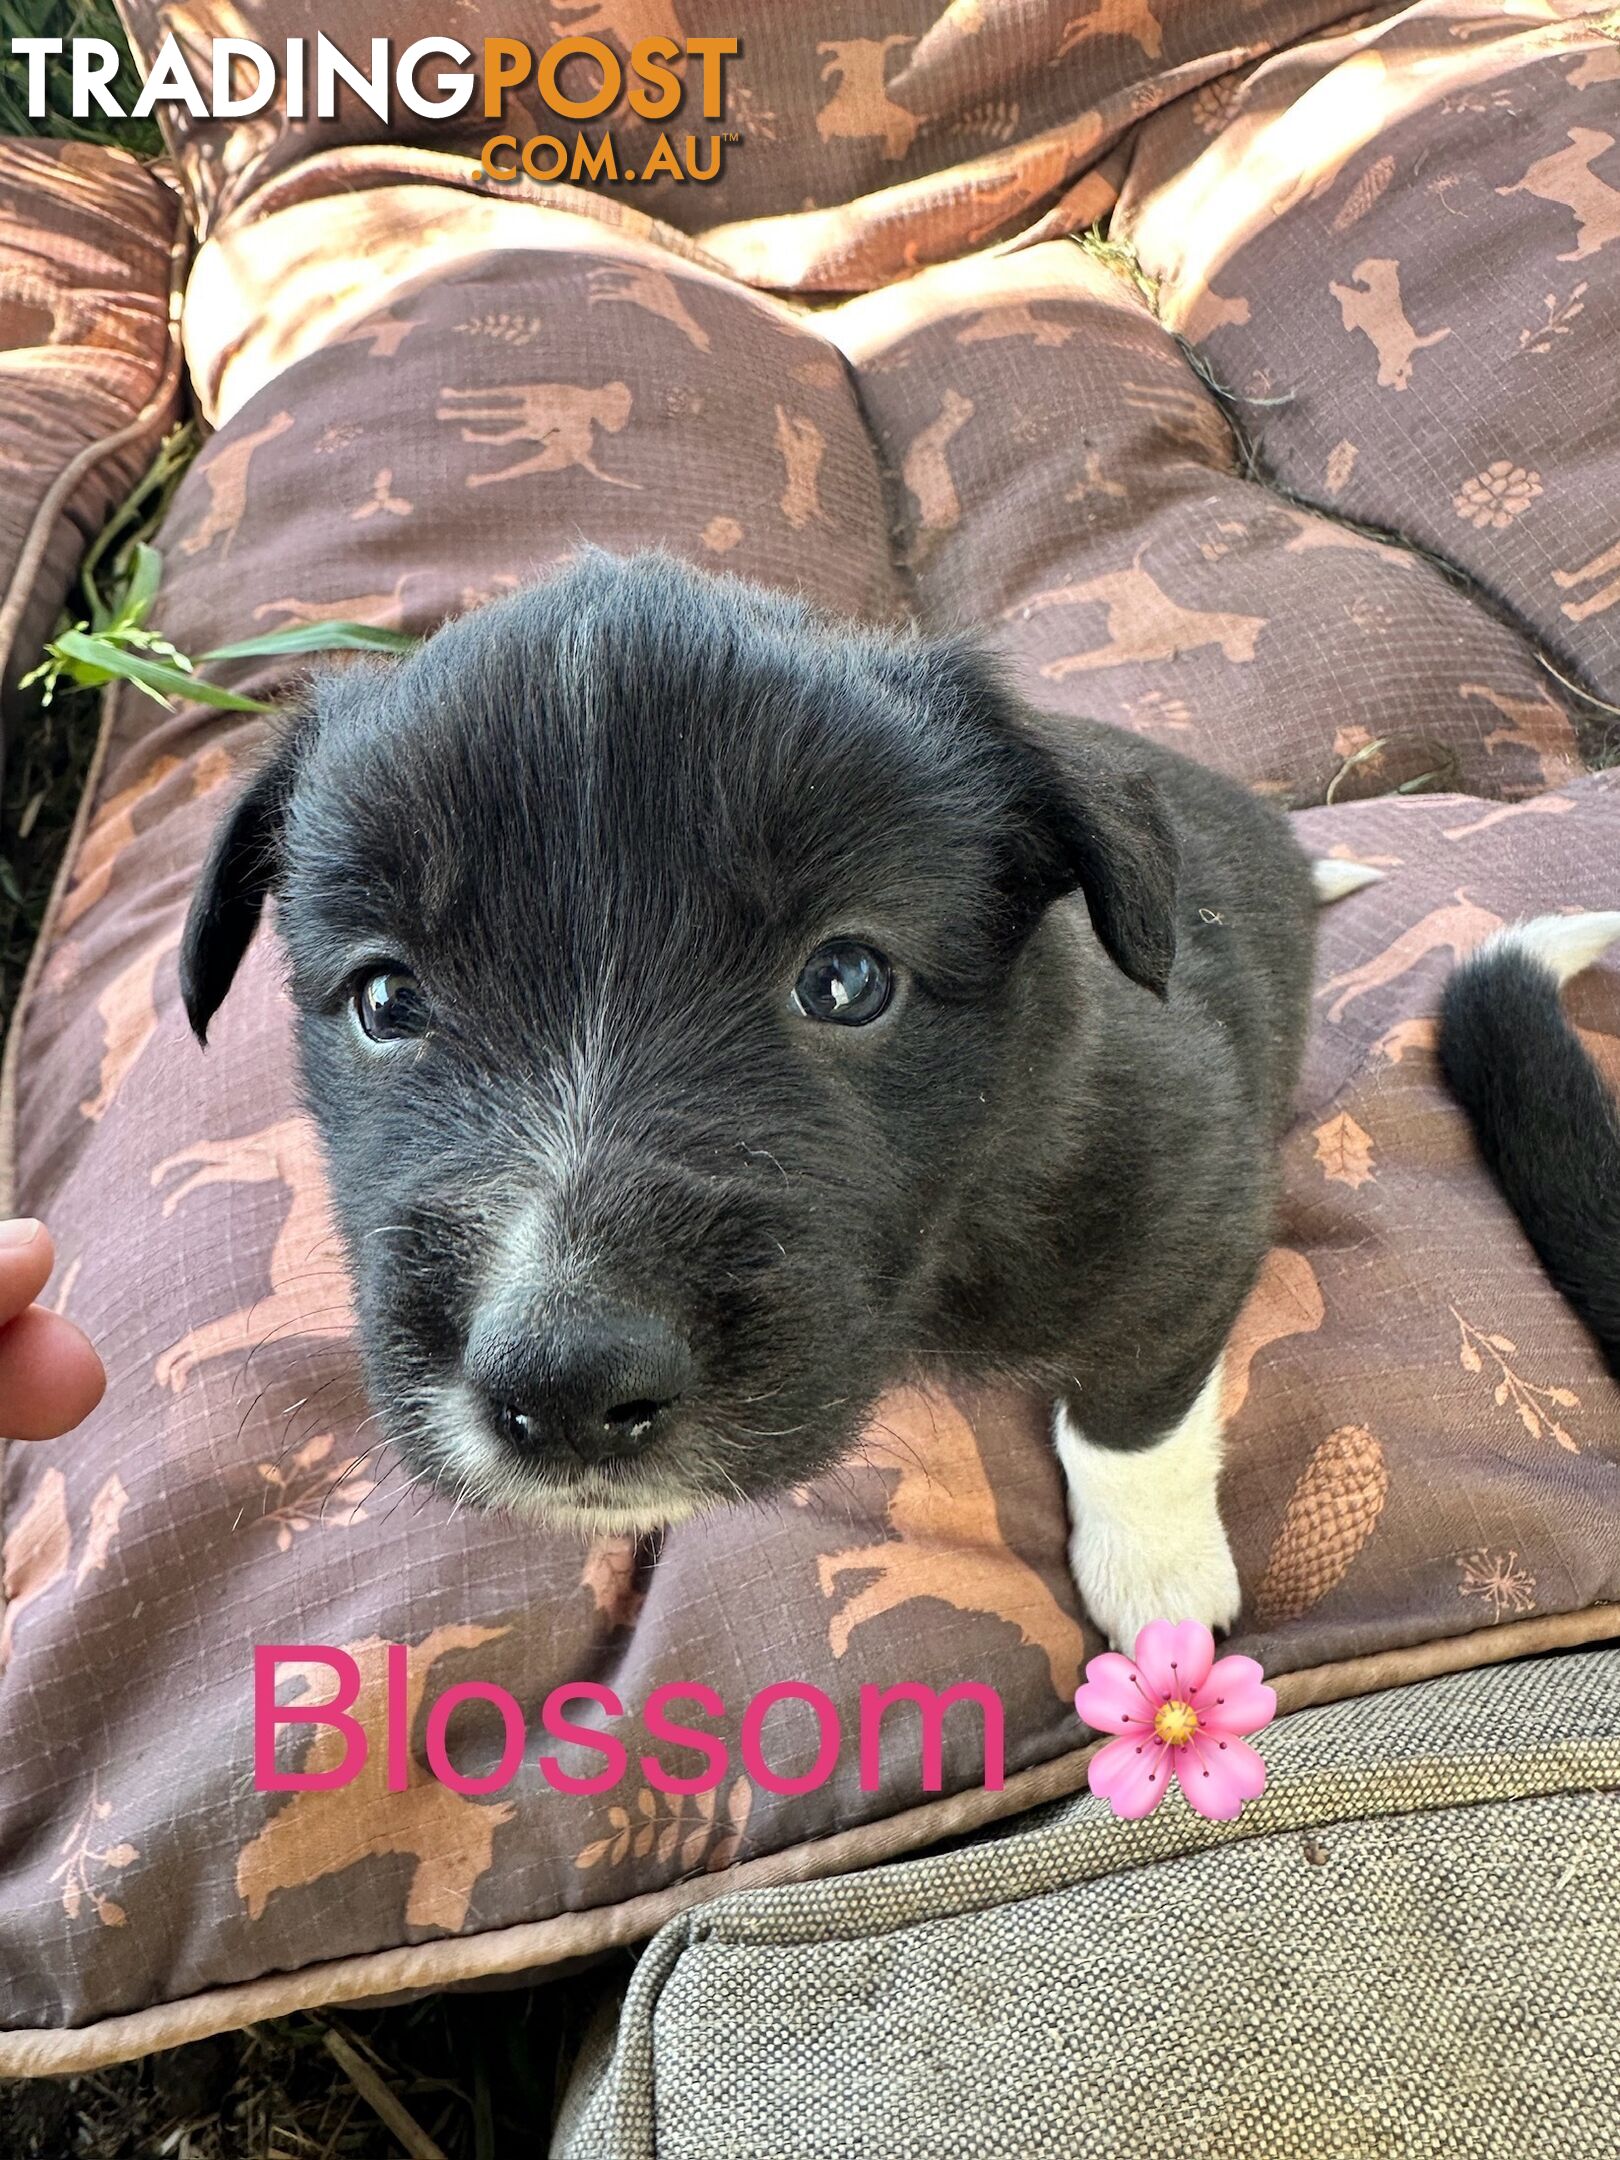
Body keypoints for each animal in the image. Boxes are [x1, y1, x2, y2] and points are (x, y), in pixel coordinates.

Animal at [183, 548, 1339, 1641]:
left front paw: (1159, 1587)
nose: (565, 1385)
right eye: (386, 999)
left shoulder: (1190, 1206)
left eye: (846, 980)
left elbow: (1133, 1416)